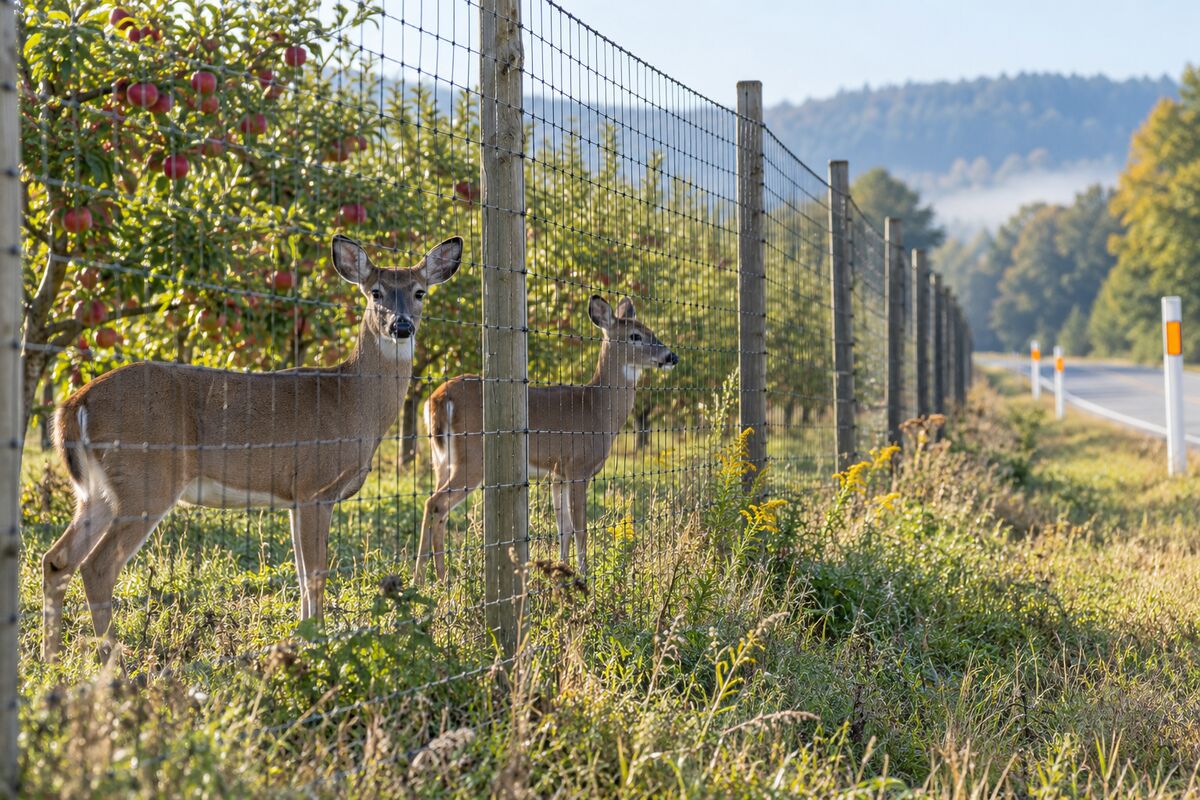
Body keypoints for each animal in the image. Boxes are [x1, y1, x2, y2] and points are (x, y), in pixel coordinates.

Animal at [42, 234, 463, 661]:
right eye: (375, 291)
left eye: (419, 292)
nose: (401, 326)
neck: (350, 400)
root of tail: (72, 405)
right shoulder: (315, 486)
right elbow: (315, 574)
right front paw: (318, 644)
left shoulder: (297, 496)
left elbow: (301, 573)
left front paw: (301, 637)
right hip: (146, 478)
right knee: (96, 567)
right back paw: (115, 665)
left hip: (99, 491)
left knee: (57, 560)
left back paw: (53, 661)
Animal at [413, 295, 678, 585]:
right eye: (635, 336)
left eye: (650, 330)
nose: (671, 356)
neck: (597, 410)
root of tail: (438, 398)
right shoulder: (578, 467)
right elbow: (580, 528)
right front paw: (585, 577)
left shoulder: (557, 474)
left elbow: (563, 528)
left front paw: (562, 572)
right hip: (472, 457)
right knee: (435, 504)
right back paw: (431, 580)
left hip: (442, 458)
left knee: (435, 509)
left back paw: (430, 580)